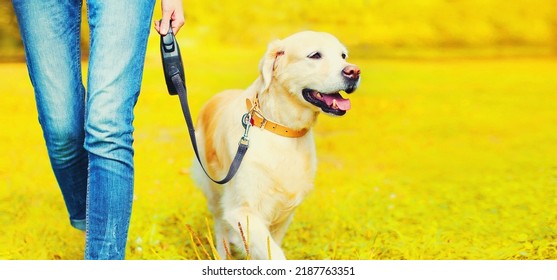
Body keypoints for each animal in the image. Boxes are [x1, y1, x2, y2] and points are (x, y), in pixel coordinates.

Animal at [191, 29, 360, 260]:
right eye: (315, 55)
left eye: (343, 56)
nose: (354, 71)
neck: (281, 127)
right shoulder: (242, 210)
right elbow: (275, 254)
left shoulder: (284, 212)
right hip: (214, 191)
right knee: (220, 227)